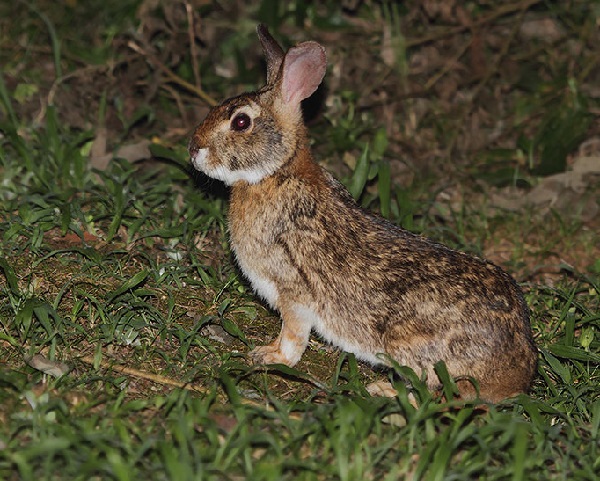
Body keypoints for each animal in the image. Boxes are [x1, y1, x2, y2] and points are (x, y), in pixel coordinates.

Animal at [190, 25, 536, 402]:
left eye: (241, 122)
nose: (194, 150)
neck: (276, 172)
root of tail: (517, 369)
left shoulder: (293, 290)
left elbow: (294, 335)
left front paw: (270, 356)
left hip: (410, 344)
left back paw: (382, 391)